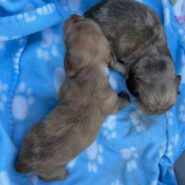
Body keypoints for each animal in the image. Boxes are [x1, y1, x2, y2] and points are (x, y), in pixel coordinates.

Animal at [15, 14, 129, 182]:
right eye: (73, 24)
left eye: (82, 20)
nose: (73, 15)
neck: (91, 71)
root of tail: (27, 164)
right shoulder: (112, 102)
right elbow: (119, 104)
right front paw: (126, 97)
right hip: (54, 172)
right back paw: (66, 175)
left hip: (32, 131)